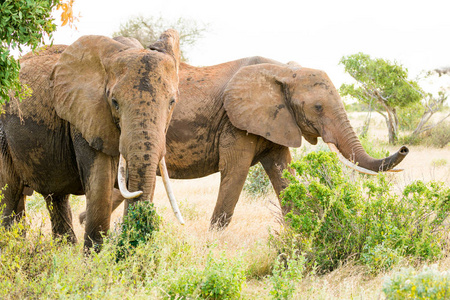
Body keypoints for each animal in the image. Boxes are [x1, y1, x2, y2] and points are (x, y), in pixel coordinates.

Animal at [0, 30, 183, 248]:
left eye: (172, 102)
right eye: (114, 102)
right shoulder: (85, 117)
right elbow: (100, 187)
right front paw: (96, 257)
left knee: (55, 197)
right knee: (10, 192)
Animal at [79, 51, 410, 229]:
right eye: (318, 107)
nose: (405, 147)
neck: (284, 71)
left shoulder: (276, 121)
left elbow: (283, 175)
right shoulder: (235, 124)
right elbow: (235, 174)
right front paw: (213, 245)